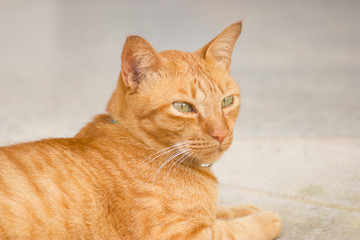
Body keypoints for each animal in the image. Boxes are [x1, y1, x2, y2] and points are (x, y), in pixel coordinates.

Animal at [0, 21, 282, 239]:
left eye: (226, 101)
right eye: (183, 107)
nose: (221, 134)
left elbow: (218, 211)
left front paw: (242, 209)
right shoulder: (175, 234)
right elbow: (231, 230)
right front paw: (265, 219)